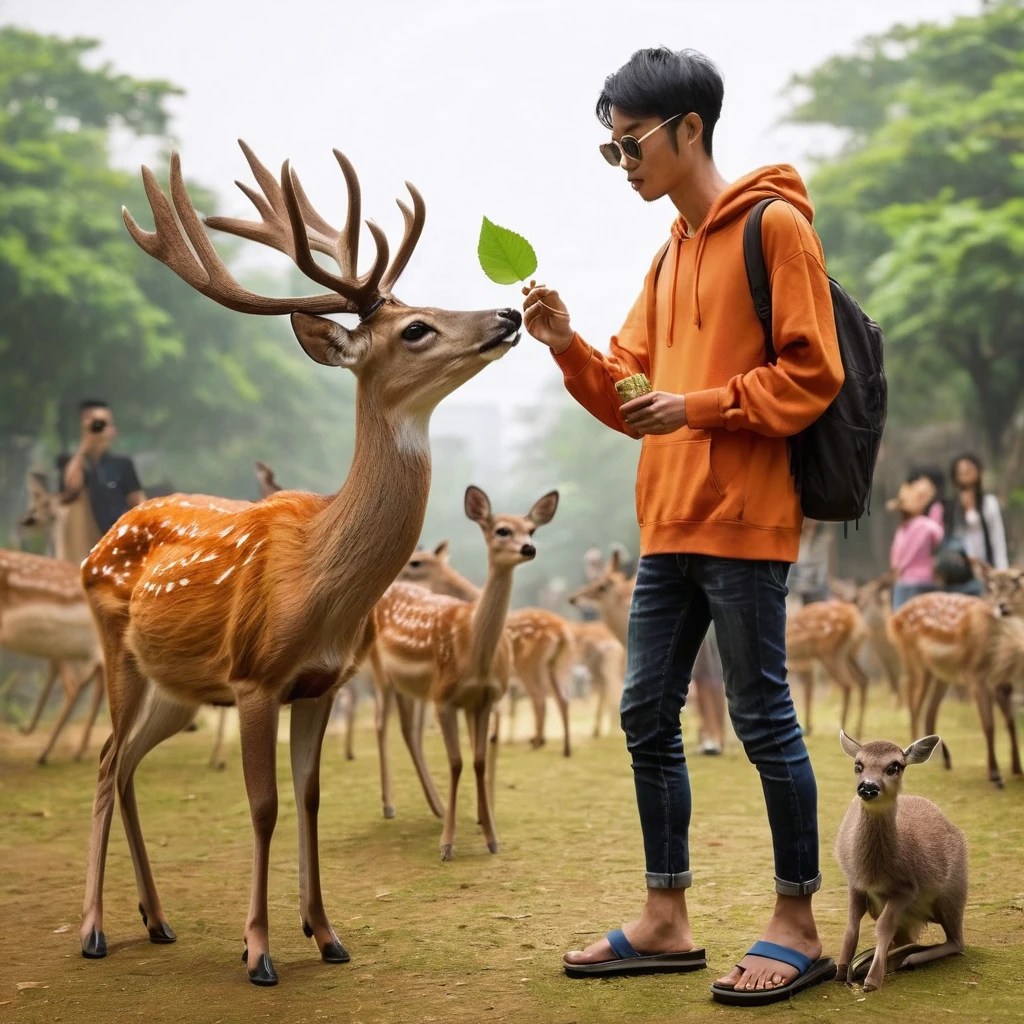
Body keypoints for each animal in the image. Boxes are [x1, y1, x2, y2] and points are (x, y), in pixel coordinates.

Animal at [77, 138, 520, 983]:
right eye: (416, 329)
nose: (510, 312)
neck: (319, 584)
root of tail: (98, 543)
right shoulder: (255, 677)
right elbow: (264, 806)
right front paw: (258, 951)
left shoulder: (320, 684)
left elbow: (311, 799)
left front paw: (327, 934)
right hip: (116, 642)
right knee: (107, 760)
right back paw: (92, 929)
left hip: (178, 685)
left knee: (128, 761)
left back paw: (157, 920)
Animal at [370, 487, 561, 856]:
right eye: (502, 530)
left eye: (532, 530)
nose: (528, 548)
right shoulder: (447, 698)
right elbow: (458, 761)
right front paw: (449, 843)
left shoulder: (484, 699)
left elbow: (479, 757)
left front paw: (489, 831)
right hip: (380, 672)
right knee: (382, 725)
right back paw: (389, 805)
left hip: (415, 689)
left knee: (409, 731)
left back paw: (436, 805)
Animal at [831, 733, 966, 987]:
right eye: (858, 765)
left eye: (894, 766)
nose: (868, 787)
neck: (873, 875)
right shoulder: (854, 883)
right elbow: (852, 925)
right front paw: (841, 971)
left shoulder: (907, 888)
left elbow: (884, 926)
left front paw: (873, 980)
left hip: (953, 894)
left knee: (957, 941)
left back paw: (908, 959)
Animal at [888, 565, 1024, 786]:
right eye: (991, 586)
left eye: (1017, 584)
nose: (1002, 606)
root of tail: (893, 619)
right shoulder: (975, 675)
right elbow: (988, 724)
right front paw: (995, 776)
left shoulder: (1002, 681)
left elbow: (1010, 723)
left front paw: (1017, 770)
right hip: (914, 661)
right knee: (913, 700)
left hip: (941, 674)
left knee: (930, 709)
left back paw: (942, 760)